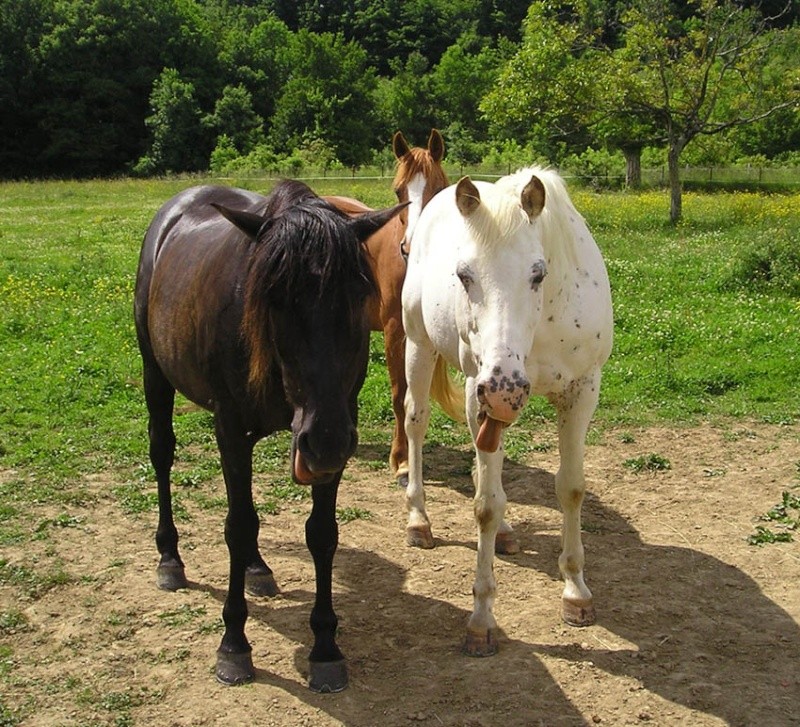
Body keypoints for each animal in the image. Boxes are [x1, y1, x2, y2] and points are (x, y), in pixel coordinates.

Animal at [134, 179, 406, 692]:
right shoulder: (231, 430)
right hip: (155, 376)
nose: (326, 440)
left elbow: (321, 534)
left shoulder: (333, 428)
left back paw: (257, 570)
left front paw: (325, 648)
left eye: (358, 293)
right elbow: (237, 526)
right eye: (275, 298)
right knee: (162, 455)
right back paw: (170, 559)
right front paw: (234, 645)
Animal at [326, 129, 462, 484]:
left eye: (437, 188)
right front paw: (401, 460)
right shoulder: (395, 331)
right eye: (398, 190)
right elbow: (400, 393)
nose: (410, 247)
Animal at [404, 169, 616, 656]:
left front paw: (576, 592)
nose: (504, 390)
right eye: (463, 275)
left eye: (538, 274)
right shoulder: (476, 390)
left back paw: (504, 534)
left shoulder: (582, 391)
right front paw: (481, 619)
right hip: (419, 347)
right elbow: (485, 504)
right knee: (415, 421)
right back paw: (418, 519)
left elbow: (570, 488)